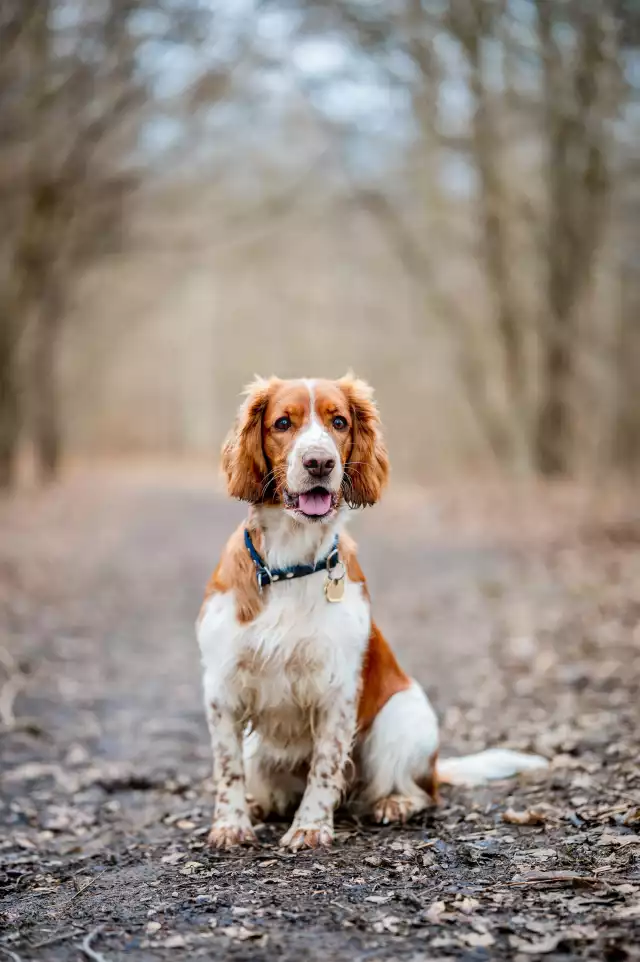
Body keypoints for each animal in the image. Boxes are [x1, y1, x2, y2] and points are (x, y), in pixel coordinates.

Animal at [195, 374, 544, 848]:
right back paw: (260, 805)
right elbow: (227, 767)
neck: (290, 563)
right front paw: (231, 824)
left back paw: (393, 803)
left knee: (421, 792)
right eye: (283, 422)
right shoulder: (223, 685)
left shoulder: (337, 687)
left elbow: (325, 765)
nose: (319, 462)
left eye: (339, 421)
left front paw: (310, 827)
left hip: (401, 719)